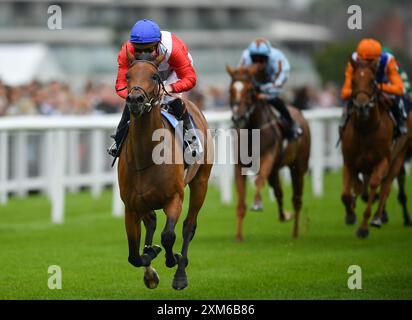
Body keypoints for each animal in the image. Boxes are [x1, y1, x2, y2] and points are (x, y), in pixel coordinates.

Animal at [116, 51, 211, 292]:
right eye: (128, 75)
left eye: (154, 76)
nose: (135, 100)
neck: (146, 155)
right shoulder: (131, 206)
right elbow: (133, 254)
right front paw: (150, 257)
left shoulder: (174, 197)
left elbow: (169, 235)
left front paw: (173, 260)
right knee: (150, 222)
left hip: (201, 182)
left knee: (188, 227)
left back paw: (180, 272)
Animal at [227, 64, 310, 240]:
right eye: (230, 90)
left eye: (250, 90)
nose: (238, 117)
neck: (252, 130)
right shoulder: (239, 164)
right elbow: (241, 201)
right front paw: (238, 236)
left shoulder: (268, 157)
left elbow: (259, 181)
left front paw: (257, 204)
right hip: (275, 171)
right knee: (279, 192)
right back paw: (285, 216)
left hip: (298, 168)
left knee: (297, 199)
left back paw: (295, 232)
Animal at [342, 58, 412, 238]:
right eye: (353, 81)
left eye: (372, 82)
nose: (361, 107)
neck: (365, 129)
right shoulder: (349, 162)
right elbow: (347, 193)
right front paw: (350, 214)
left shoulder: (382, 161)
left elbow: (375, 185)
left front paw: (364, 227)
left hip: (398, 157)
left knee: (386, 186)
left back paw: (377, 218)